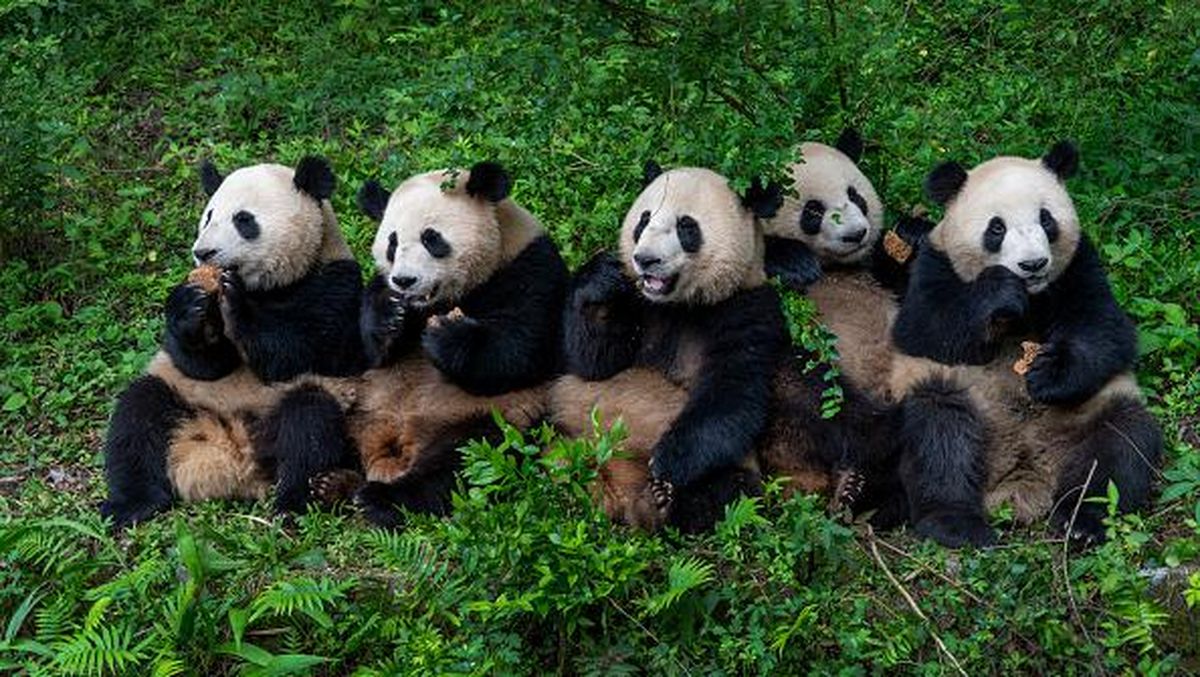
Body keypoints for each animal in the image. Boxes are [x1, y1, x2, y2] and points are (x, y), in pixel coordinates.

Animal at [101, 157, 365, 528]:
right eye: (209, 215)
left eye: (244, 220)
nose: (203, 252)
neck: (268, 288)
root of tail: (232, 458)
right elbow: (202, 365)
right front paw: (192, 306)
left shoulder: (335, 285)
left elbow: (297, 351)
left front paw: (236, 304)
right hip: (182, 397)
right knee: (136, 417)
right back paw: (132, 505)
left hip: (311, 401)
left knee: (310, 423)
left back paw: (293, 504)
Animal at [309, 162, 569, 527]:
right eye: (392, 243)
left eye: (431, 238)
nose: (404, 280)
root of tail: (390, 449)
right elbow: (359, 349)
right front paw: (390, 316)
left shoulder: (530, 268)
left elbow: (523, 349)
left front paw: (447, 336)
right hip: (358, 402)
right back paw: (331, 483)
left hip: (488, 414)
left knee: (465, 460)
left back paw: (380, 499)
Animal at [551, 164, 795, 533]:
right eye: (644, 220)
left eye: (686, 226)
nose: (645, 259)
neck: (677, 305)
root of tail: (619, 490)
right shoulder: (638, 304)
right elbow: (595, 363)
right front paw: (601, 277)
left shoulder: (748, 311)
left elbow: (732, 396)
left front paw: (668, 459)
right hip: (563, 428)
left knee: (730, 492)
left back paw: (663, 501)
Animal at [888, 141, 1163, 547]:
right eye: (996, 227)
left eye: (1046, 219)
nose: (1032, 265)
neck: (1032, 297)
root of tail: (1026, 477)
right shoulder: (934, 264)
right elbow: (924, 328)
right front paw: (999, 291)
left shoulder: (1079, 265)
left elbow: (1105, 329)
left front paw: (1048, 375)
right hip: (957, 396)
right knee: (939, 436)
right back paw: (957, 524)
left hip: (1094, 408)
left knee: (1119, 445)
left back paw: (1081, 520)